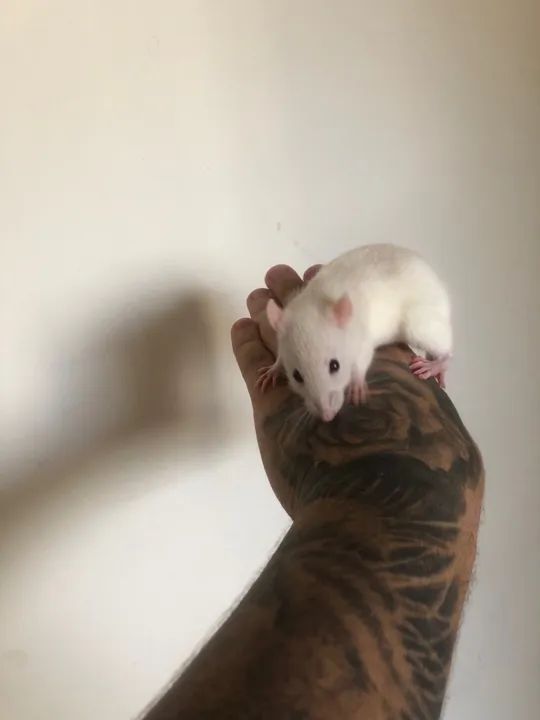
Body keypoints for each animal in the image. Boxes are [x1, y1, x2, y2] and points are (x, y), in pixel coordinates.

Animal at [257, 244, 452, 422]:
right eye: (296, 376)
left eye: (335, 365)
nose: (327, 416)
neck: (315, 302)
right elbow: (280, 357)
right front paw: (273, 370)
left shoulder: (361, 337)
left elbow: (362, 359)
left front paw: (357, 385)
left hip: (421, 322)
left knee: (445, 347)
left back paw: (436, 365)